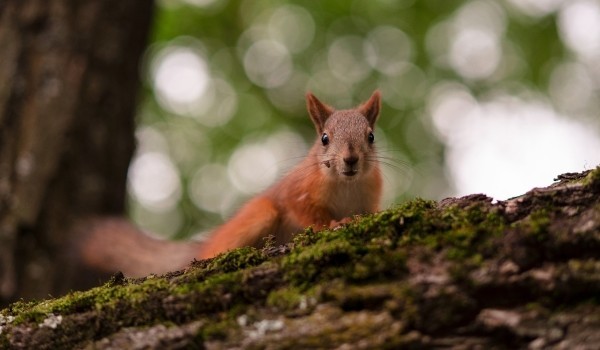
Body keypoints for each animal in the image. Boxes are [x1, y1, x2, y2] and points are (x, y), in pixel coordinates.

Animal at [71, 91, 380, 278]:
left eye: (371, 136)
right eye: (325, 138)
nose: (350, 159)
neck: (346, 184)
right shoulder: (299, 190)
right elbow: (307, 212)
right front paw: (334, 223)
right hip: (257, 215)